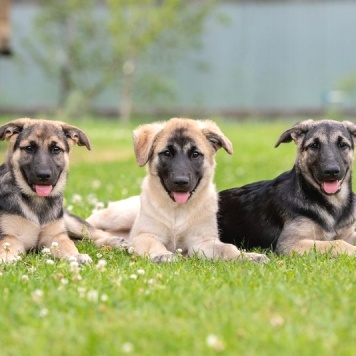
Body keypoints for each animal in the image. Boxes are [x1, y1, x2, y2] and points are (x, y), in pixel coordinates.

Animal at [0, 118, 122, 262]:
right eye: (29, 148)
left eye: (56, 149)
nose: (43, 176)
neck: (38, 201)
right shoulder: (10, 237)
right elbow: (6, 249)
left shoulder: (56, 236)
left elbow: (68, 246)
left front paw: (76, 256)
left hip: (72, 222)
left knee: (96, 234)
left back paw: (116, 242)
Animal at [87, 118, 268, 262]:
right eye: (167, 153)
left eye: (195, 154)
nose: (181, 182)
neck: (177, 211)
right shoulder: (144, 235)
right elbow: (152, 243)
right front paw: (162, 255)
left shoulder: (202, 242)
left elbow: (227, 248)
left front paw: (247, 256)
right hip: (119, 216)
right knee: (92, 227)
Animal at [218, 119, 356, 256]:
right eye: (314, 145)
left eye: (342, 145)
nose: (331, 171)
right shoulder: (289, 243)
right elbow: (338, 243)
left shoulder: (347, 233)